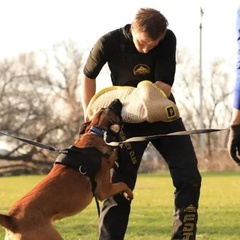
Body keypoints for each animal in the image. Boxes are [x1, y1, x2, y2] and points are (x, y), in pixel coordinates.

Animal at [0, 98, 133, 239]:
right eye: (112, 108)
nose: (117, 99)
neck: (96, 131)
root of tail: (12, 220)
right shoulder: (104, 189)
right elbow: (123, 184)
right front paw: (129, 193)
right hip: (53, 236)